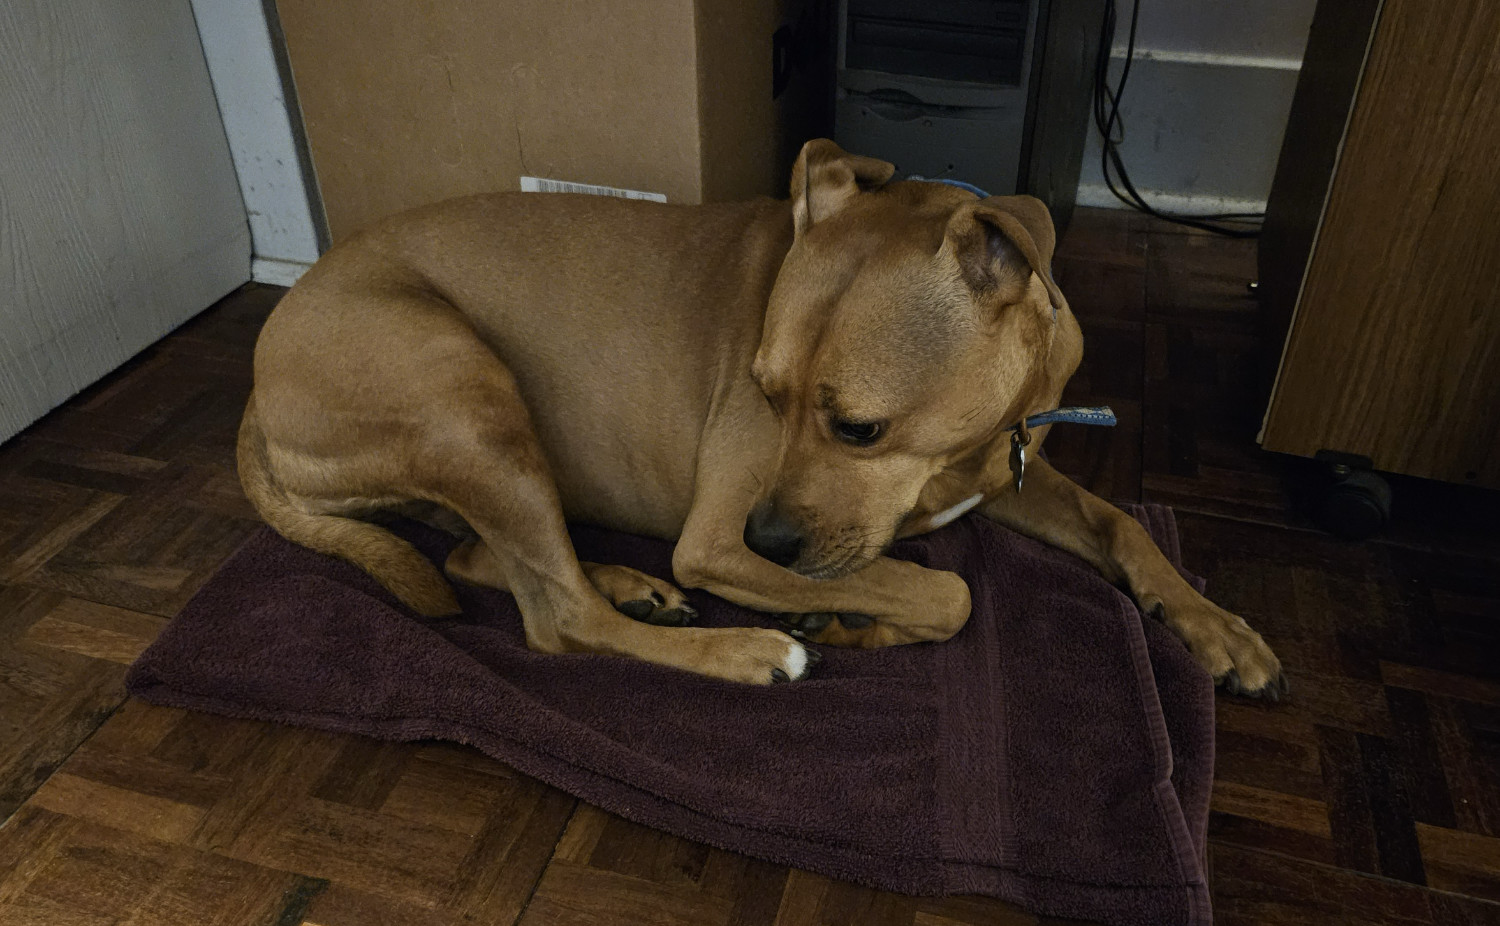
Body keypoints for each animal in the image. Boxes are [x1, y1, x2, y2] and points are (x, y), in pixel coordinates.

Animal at [240, 138, 1284, 693]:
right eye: (765, 393)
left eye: (859, 428)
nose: (767, 542)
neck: (969, 448)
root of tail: (254, 391)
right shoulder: (716, 539)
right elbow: (946, 592)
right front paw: (848, 622)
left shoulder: (1009, 476)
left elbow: (1119, 525)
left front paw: (1214, 624)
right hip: (470, 391)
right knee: (558, 620)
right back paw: (740, 647)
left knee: (482, 559)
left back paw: (635, 584)